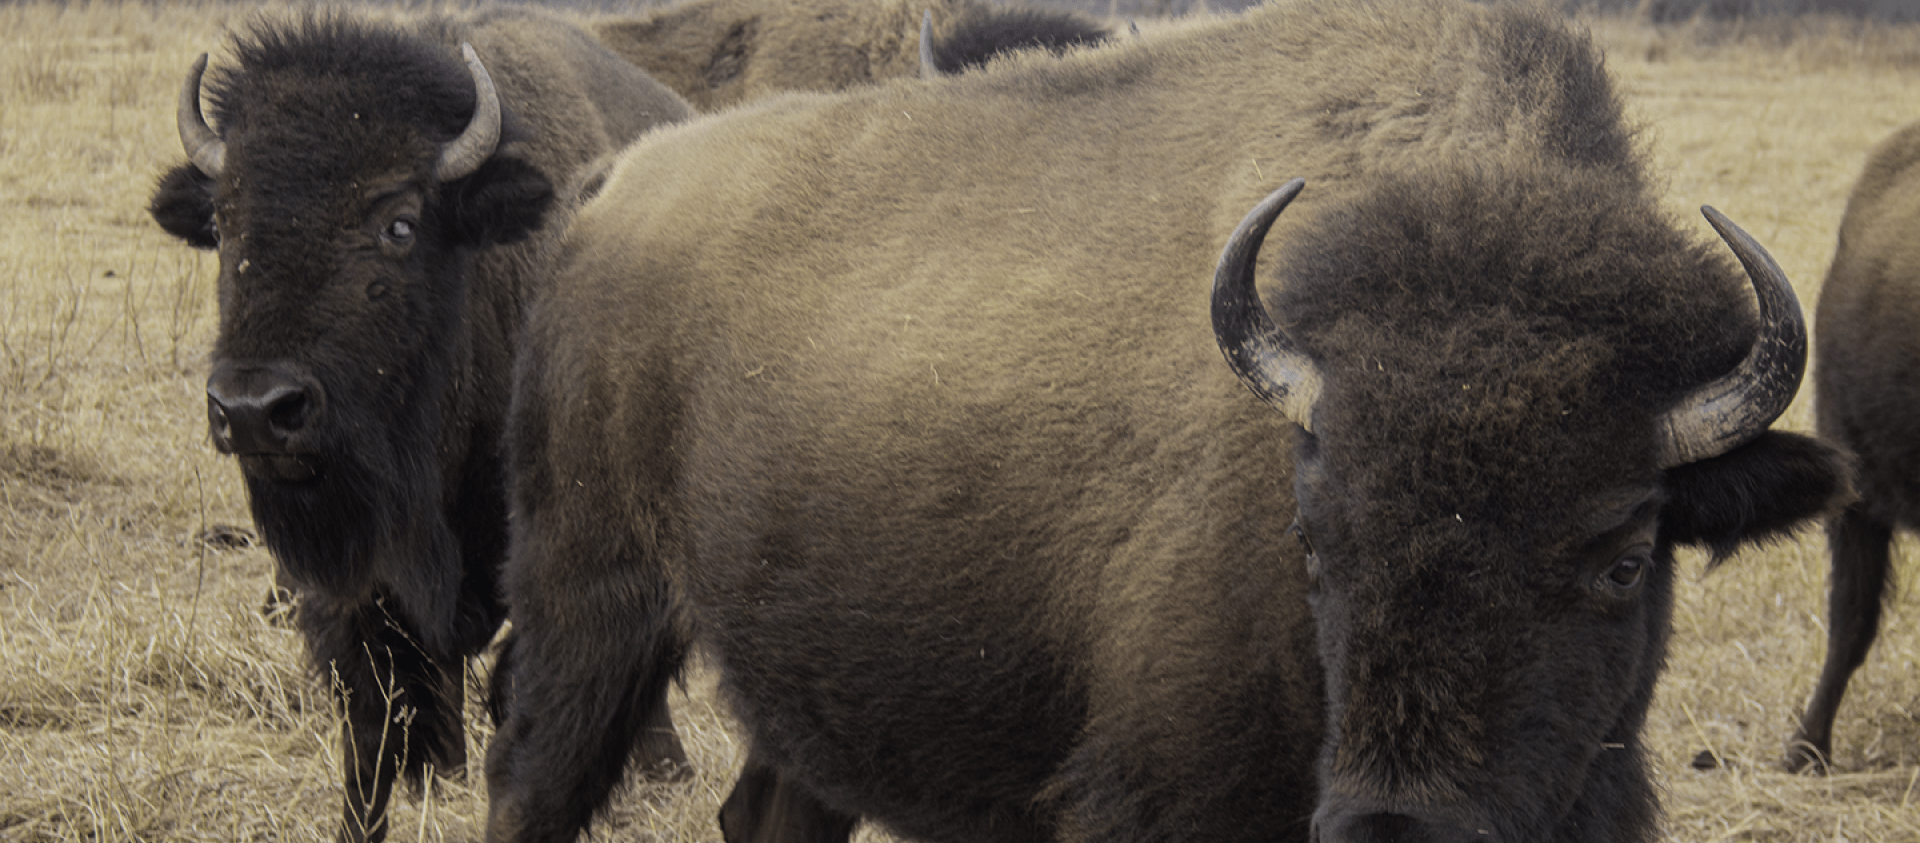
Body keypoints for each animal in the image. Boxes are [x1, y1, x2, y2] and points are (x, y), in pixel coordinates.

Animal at [484, 1, 1844, 841]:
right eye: (1311, 541)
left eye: (1626, 557)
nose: (1398, 825)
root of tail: (615, 185)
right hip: (590, 603)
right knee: (528, 778)